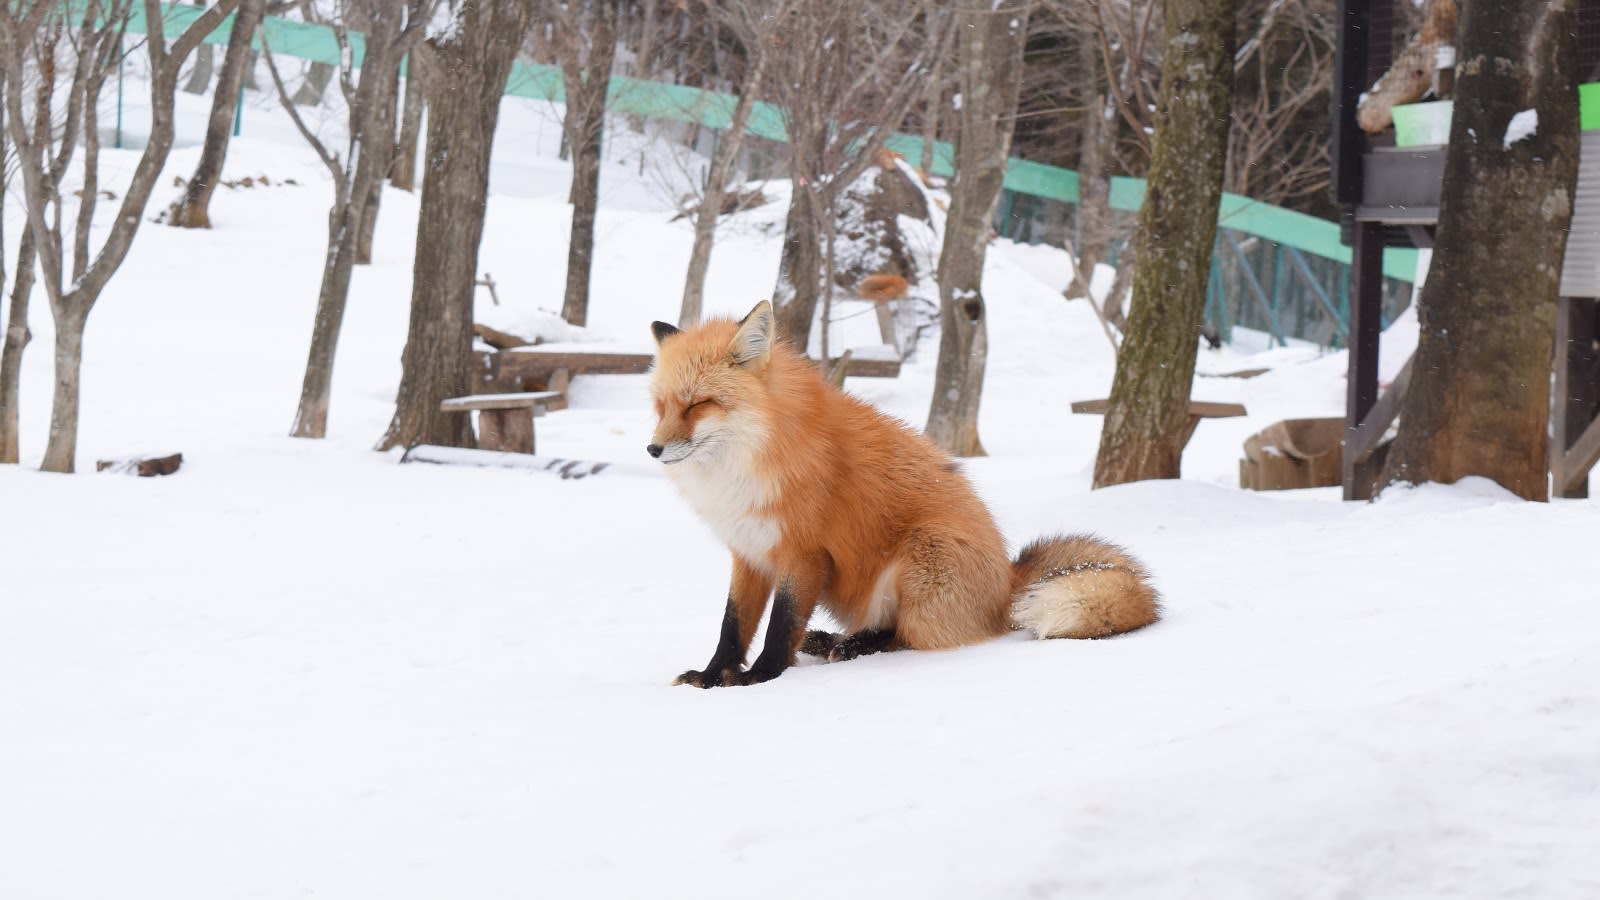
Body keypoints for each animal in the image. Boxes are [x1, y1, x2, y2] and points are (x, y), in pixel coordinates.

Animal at [649, 297, 1164, 682]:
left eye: (698, 405)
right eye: (661, 406)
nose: (652, 449)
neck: (755, 458)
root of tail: (1008, 577)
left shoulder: (803, 554)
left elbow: (780, 626)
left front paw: (761, 677)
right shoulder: (750, 552)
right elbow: (732, 625)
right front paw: (712, 677)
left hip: (924, 551)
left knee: (912, 637)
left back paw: (854, 647)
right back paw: (833, 640)